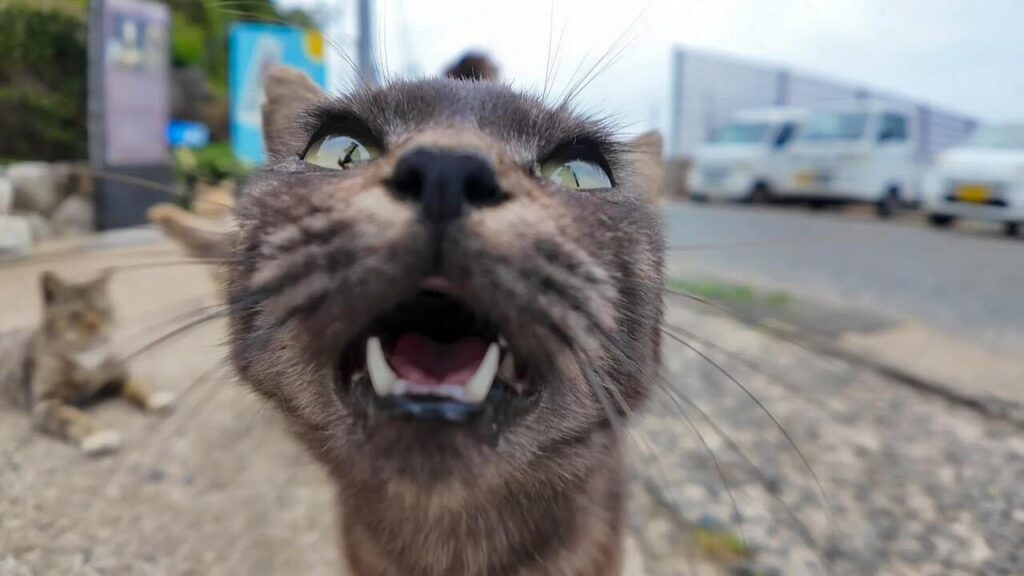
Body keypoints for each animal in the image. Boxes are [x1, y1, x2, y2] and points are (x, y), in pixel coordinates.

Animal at [0, 271, 173, 455]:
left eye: (102, 310)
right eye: (76, 315)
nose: (98, 327)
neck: (87, 355)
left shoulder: (116, 375)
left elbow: (136, 383)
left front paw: (155, 397)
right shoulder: (46, 403)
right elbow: (74, 418)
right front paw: (97, 436)